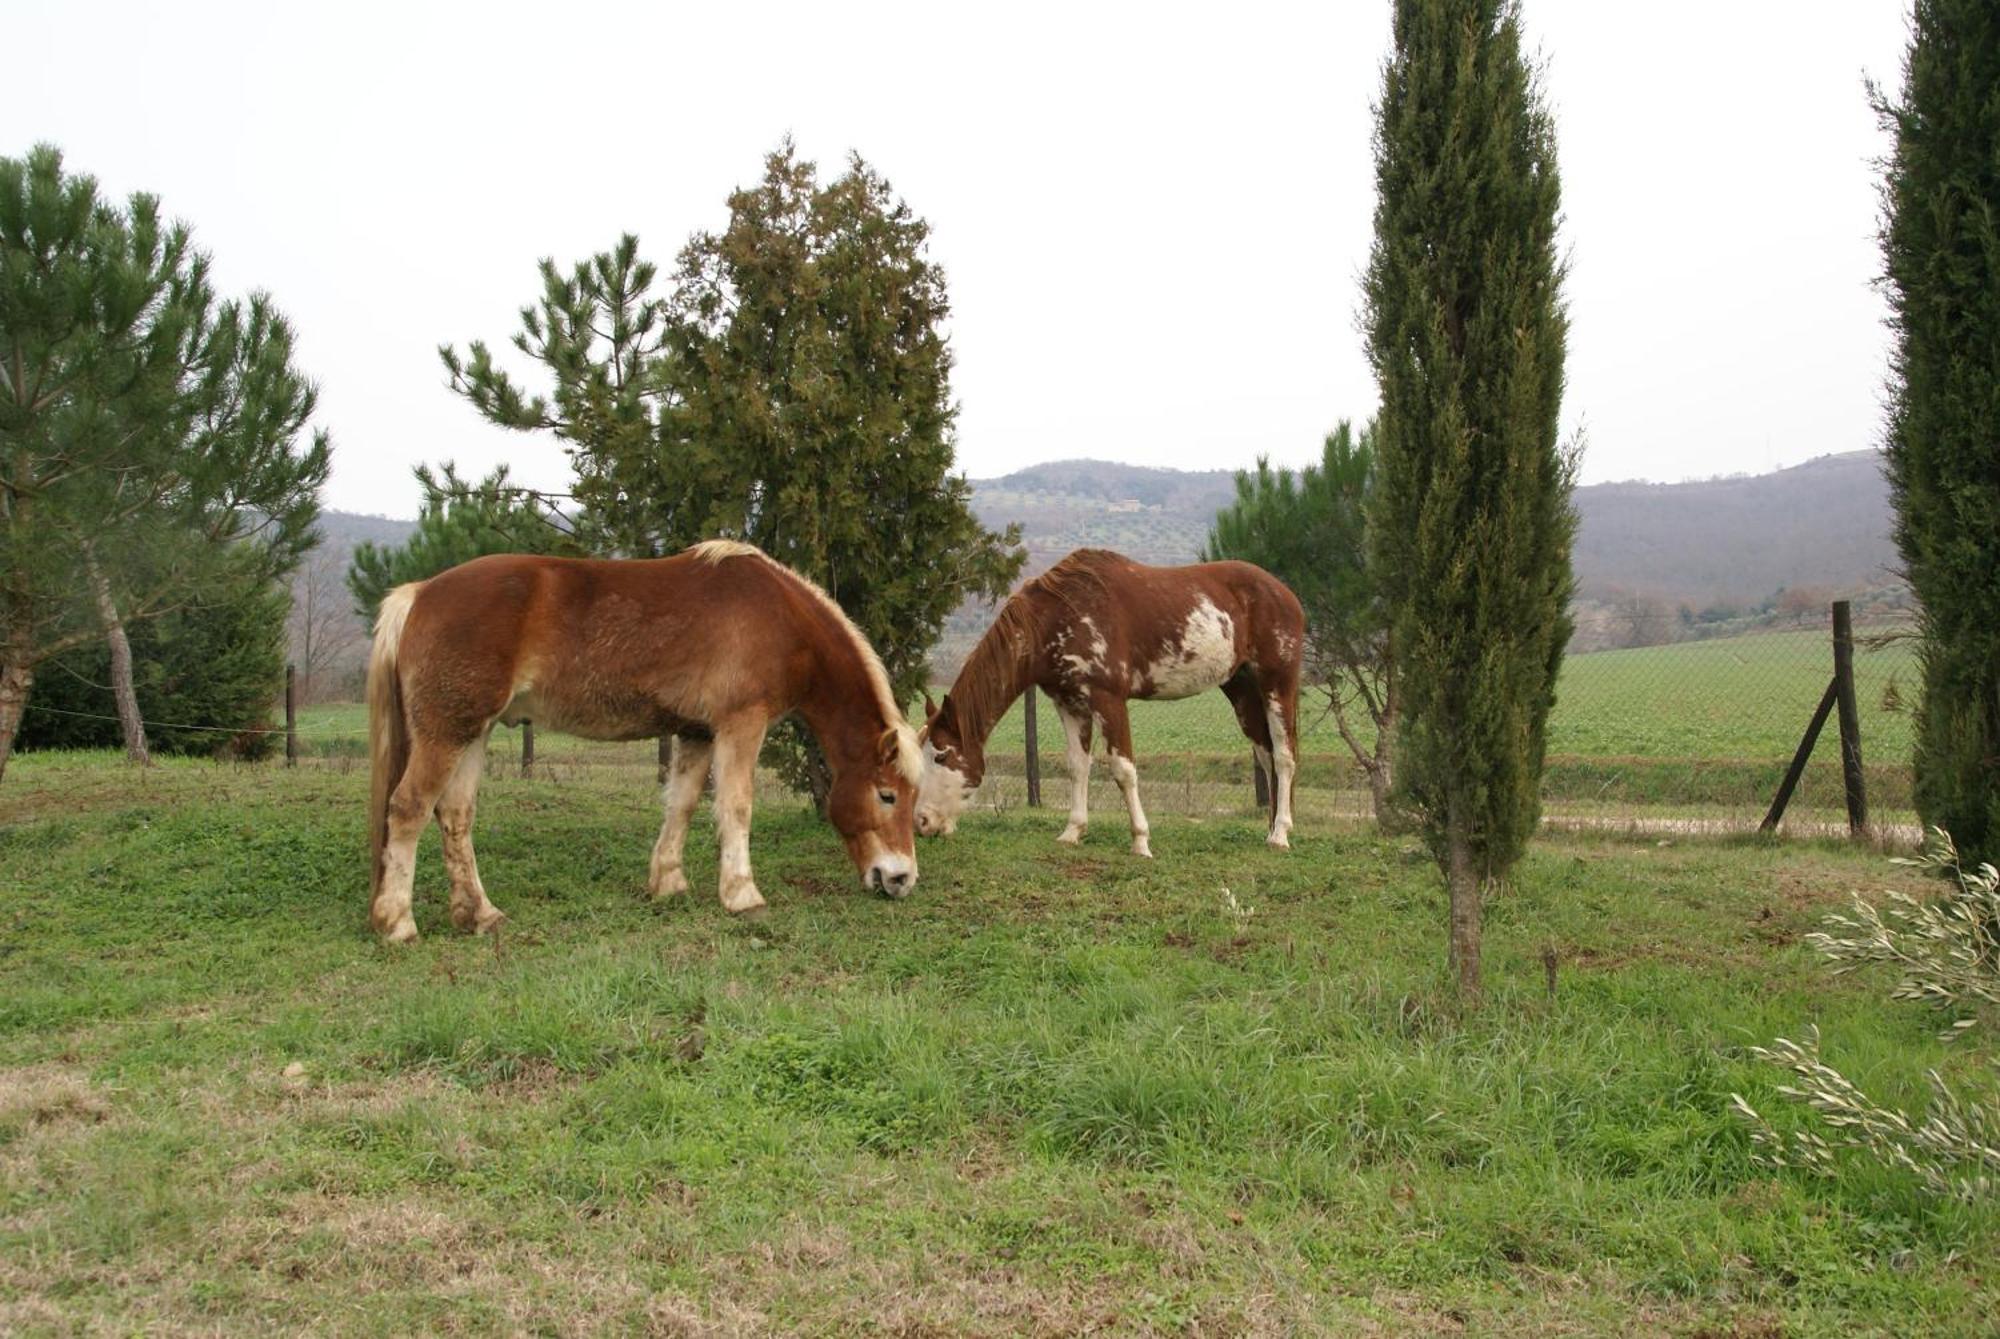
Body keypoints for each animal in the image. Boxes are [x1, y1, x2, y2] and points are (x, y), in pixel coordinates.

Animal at [368, 539, 920, 943]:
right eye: (887, 795)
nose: (901, 879)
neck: (780, 618)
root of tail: (418, 593)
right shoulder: (741, 724)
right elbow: (736, 806)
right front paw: (743, 895)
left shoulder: (697, 732)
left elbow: (683, 804)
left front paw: (668, 883)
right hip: (446, 733)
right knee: (409, 809)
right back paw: (398, 922)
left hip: (471, 732)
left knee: (455, 816)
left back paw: (480, 915)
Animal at [916, 547, 1304, 855]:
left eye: (941, 755)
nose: (921, 822)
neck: (1056, 618)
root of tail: (1286, 594)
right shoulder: (1069, 703)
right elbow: (1077, 766)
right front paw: (1072, 832)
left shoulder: (1109, 700)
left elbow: (1123, 769)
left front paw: (1141, 841)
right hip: (1241, 690)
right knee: (1266, 756)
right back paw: (1270, 829)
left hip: (1277, 683)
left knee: (1284, 757)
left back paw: (1281, 835)